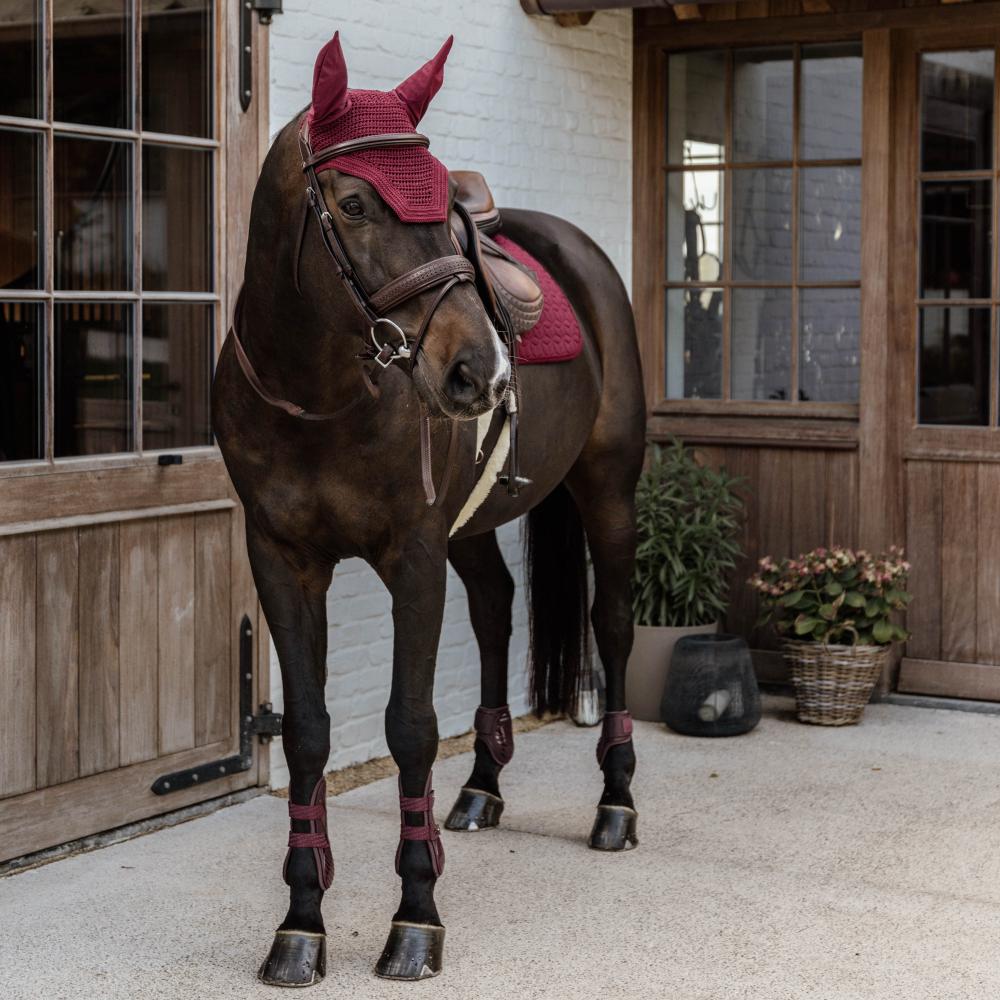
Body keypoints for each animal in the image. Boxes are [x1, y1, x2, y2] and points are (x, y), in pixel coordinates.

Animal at [212, 32, 645, 985]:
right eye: (355, 201)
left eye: (442, 204)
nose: (479, 371)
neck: (318, 394)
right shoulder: (282, 560)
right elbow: (307, 732)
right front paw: (300, 925)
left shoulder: (411, 554)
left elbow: (409, 728)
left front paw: (415, 919)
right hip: (470, 529)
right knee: (496, 609)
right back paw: (481, 788)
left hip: (609, 490)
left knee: (614, 624)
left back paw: (617, 804)